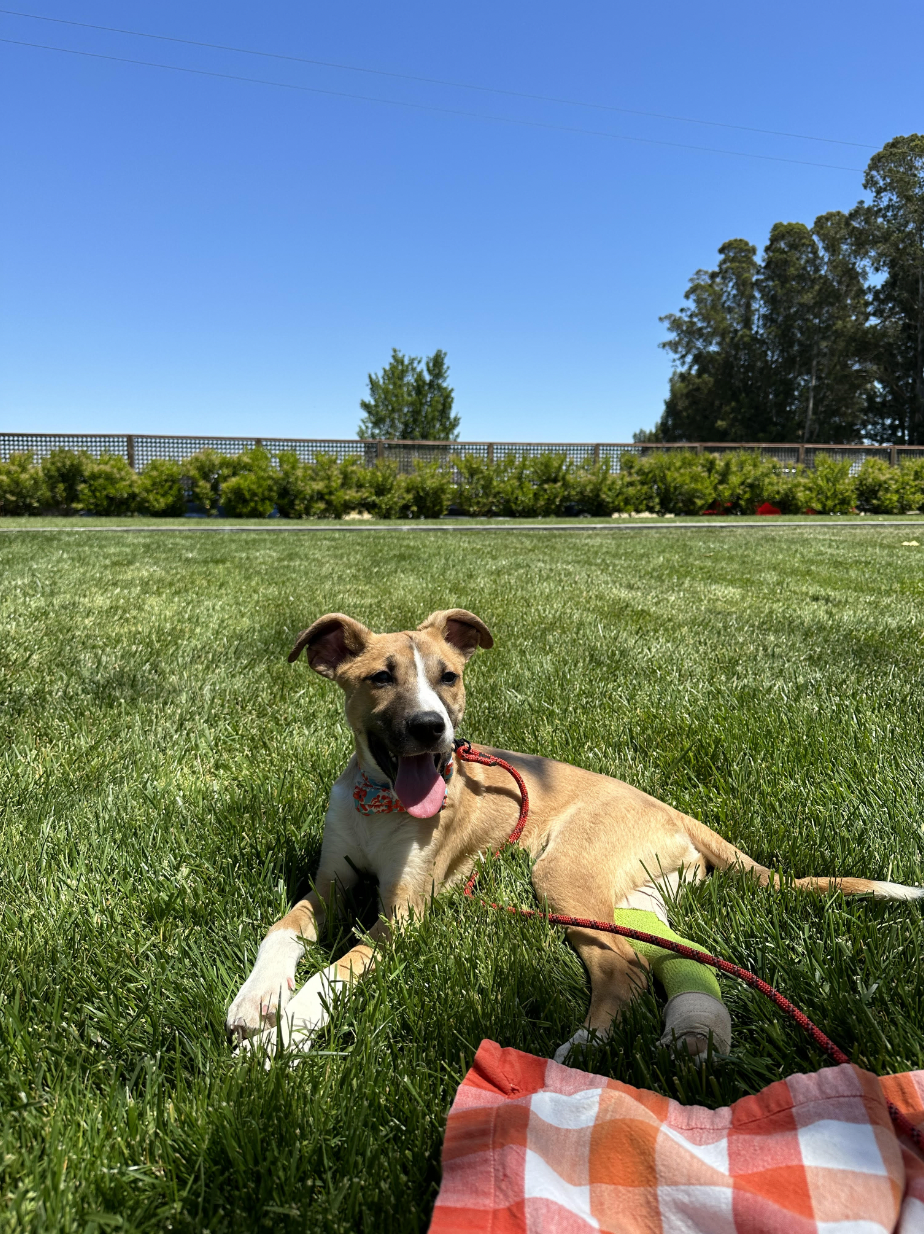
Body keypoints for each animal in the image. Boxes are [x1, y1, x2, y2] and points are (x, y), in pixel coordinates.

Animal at [225, 607, 922, 1061]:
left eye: (449, 676)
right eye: (379, 677)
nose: (431, 729)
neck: (381, 804)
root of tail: (673, 810)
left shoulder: (404, 917)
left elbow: (337, 969)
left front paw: (283, 1034)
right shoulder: (332, 882)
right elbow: (281, 930)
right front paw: (257, 999)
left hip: (559, 872)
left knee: (624, 969)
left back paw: (584, 1048)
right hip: (635, 895)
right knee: (649, 956)